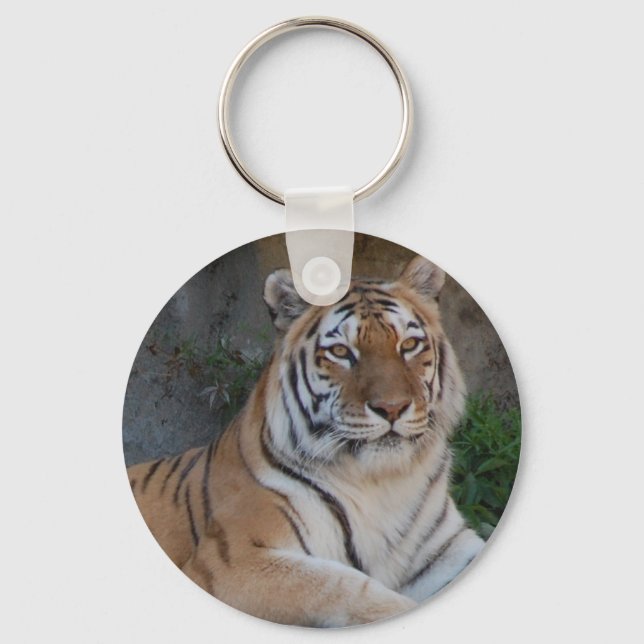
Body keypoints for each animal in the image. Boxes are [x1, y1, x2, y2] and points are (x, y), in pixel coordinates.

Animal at [127, 256, 484, 627]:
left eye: (409, 345)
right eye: (341, 351)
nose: (392, 407)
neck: (383, 481)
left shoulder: (446, 550)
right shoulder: (233, 559)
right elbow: (346, 588)